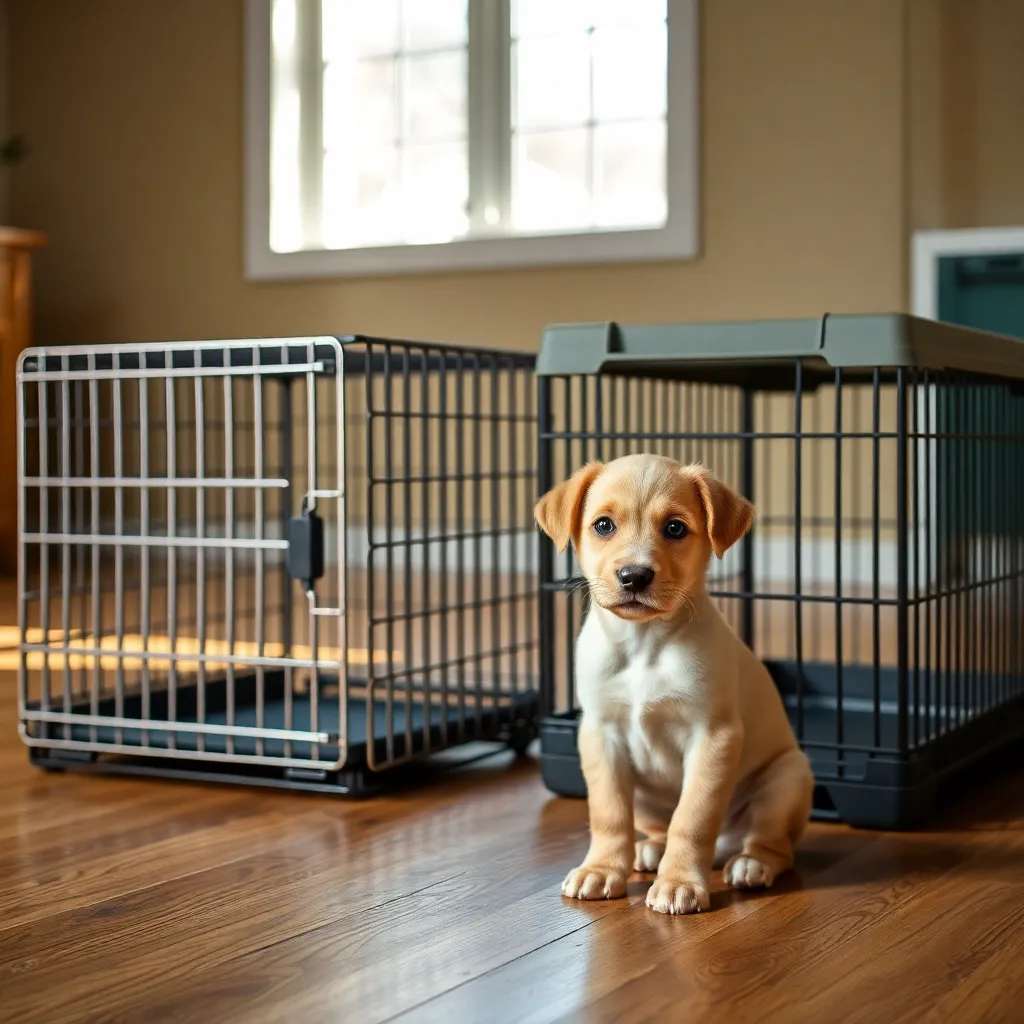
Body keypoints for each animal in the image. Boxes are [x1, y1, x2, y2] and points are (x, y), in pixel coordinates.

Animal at [536, 452, 815, 917]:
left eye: (674, 528)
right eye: (603, 525)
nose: (634, 576)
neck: (643, 644)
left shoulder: (713, 737)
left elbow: (693, 818)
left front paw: (680, 882)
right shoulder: (600, 733)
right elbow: (608, 815)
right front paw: (601, 870)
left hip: (788, 778)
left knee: (774, 844)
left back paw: (751, 863)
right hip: (645, 798)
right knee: (656, 828)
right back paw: (649, 850)